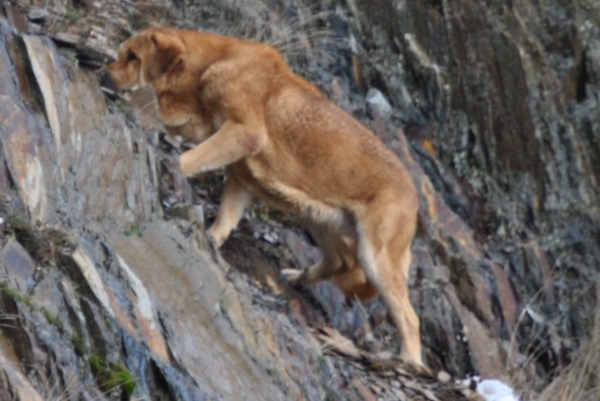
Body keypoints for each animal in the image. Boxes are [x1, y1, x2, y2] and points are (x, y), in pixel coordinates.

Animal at [99, 25, 422, 366]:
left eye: (132, 57)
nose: (101, 73)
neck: (209, 67)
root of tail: (414, 199)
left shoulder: (242, 134)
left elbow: (189, 160)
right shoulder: (240, 177)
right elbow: (225, 221)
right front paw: (209, 240)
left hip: (375, 256)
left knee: (409, 317)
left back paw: (409, 361)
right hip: (320, 221)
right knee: (339, 263)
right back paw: (296, 278)